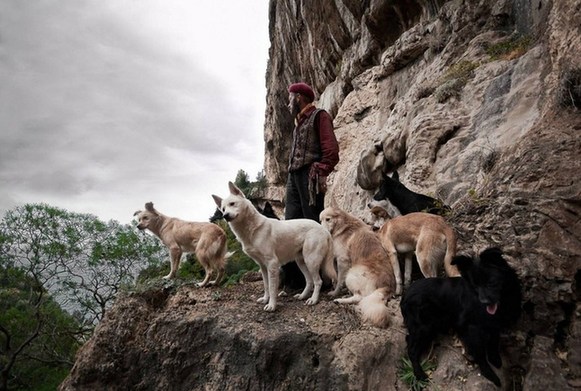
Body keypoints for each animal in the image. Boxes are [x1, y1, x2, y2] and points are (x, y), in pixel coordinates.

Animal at [212, 182, 336, 314]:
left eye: (232, 204)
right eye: (223, 209)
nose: (225, 216)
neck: (252, 229)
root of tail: (323, 229)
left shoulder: (272, 263)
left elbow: (272, 288)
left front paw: (272, 305)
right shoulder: (263, 266)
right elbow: (266, 286)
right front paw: (265, 299)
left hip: (311, 261)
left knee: (318, 281)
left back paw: (314, 299)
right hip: (301, 262)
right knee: (309, 281)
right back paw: (303, 296)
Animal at [398, 250, 520, 388]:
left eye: (491, 283)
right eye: (475, 286)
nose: (484, 301)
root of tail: (405, 295)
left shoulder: (494, 324)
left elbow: (494, 341)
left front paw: (495, 358)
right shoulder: (471, 328)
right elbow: (480, 352)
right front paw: (489, 374)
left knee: (409, 339)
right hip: (423, 327)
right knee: (411, 349)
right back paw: (420, 374)